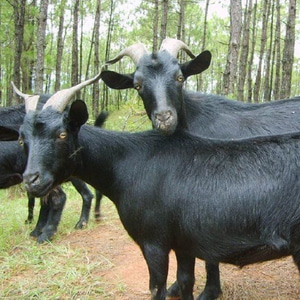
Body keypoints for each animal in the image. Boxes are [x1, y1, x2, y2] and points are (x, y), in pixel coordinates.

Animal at [12, 82, 300, 300]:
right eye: (22, 139)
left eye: (61, 134)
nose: (32, 180)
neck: (126, 164)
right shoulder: (185, 242)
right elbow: (185, 282)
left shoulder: (154, 242)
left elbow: (157, 288)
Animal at [101, 37, 300, 298]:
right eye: (137, 85)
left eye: (179, 77)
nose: (164, 117)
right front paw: (178, 287)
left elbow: (208, 253)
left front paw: (210, 290)